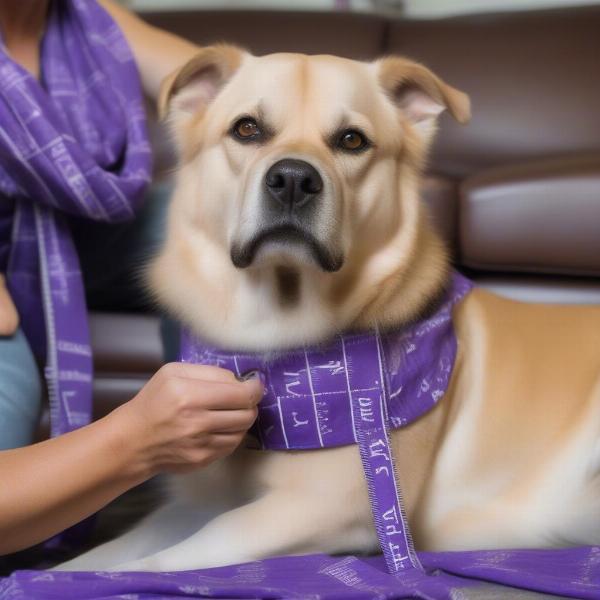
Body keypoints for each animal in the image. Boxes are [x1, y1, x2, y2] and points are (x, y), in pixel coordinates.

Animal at [58, 45, 600, 572]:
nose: (293, 180)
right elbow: (104, 555)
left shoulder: (330, 507)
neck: (275, 340)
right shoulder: (195, 505)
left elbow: (156, 564)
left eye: (352, 140)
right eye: (246, 129)